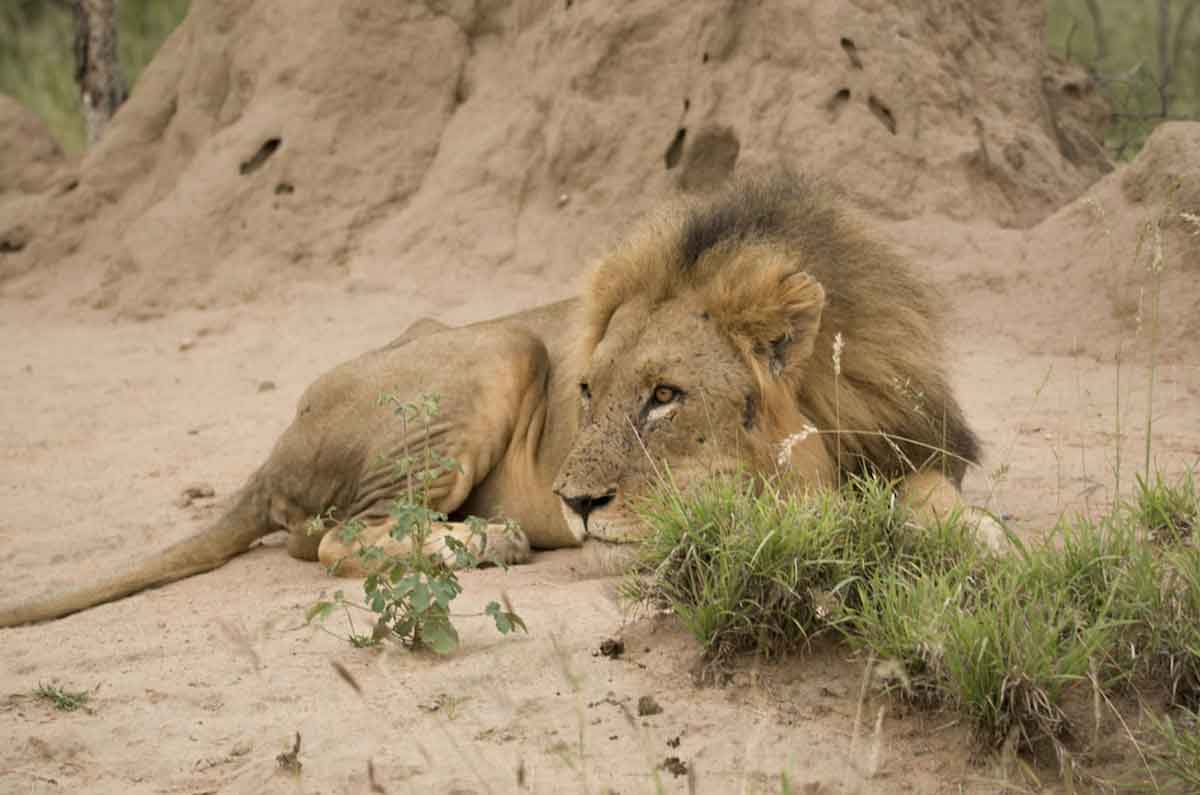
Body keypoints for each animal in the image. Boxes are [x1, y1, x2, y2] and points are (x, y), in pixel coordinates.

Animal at [0, 169, 1001, 627]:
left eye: (665, 395)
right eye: (587, 391)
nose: (576, 502)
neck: (833, 416)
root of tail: (274, 448)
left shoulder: (909, 443)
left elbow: (948, 508)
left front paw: (991, 548)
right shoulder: (676, 532)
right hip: (496, 349)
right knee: (336, 539)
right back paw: (484, 540)